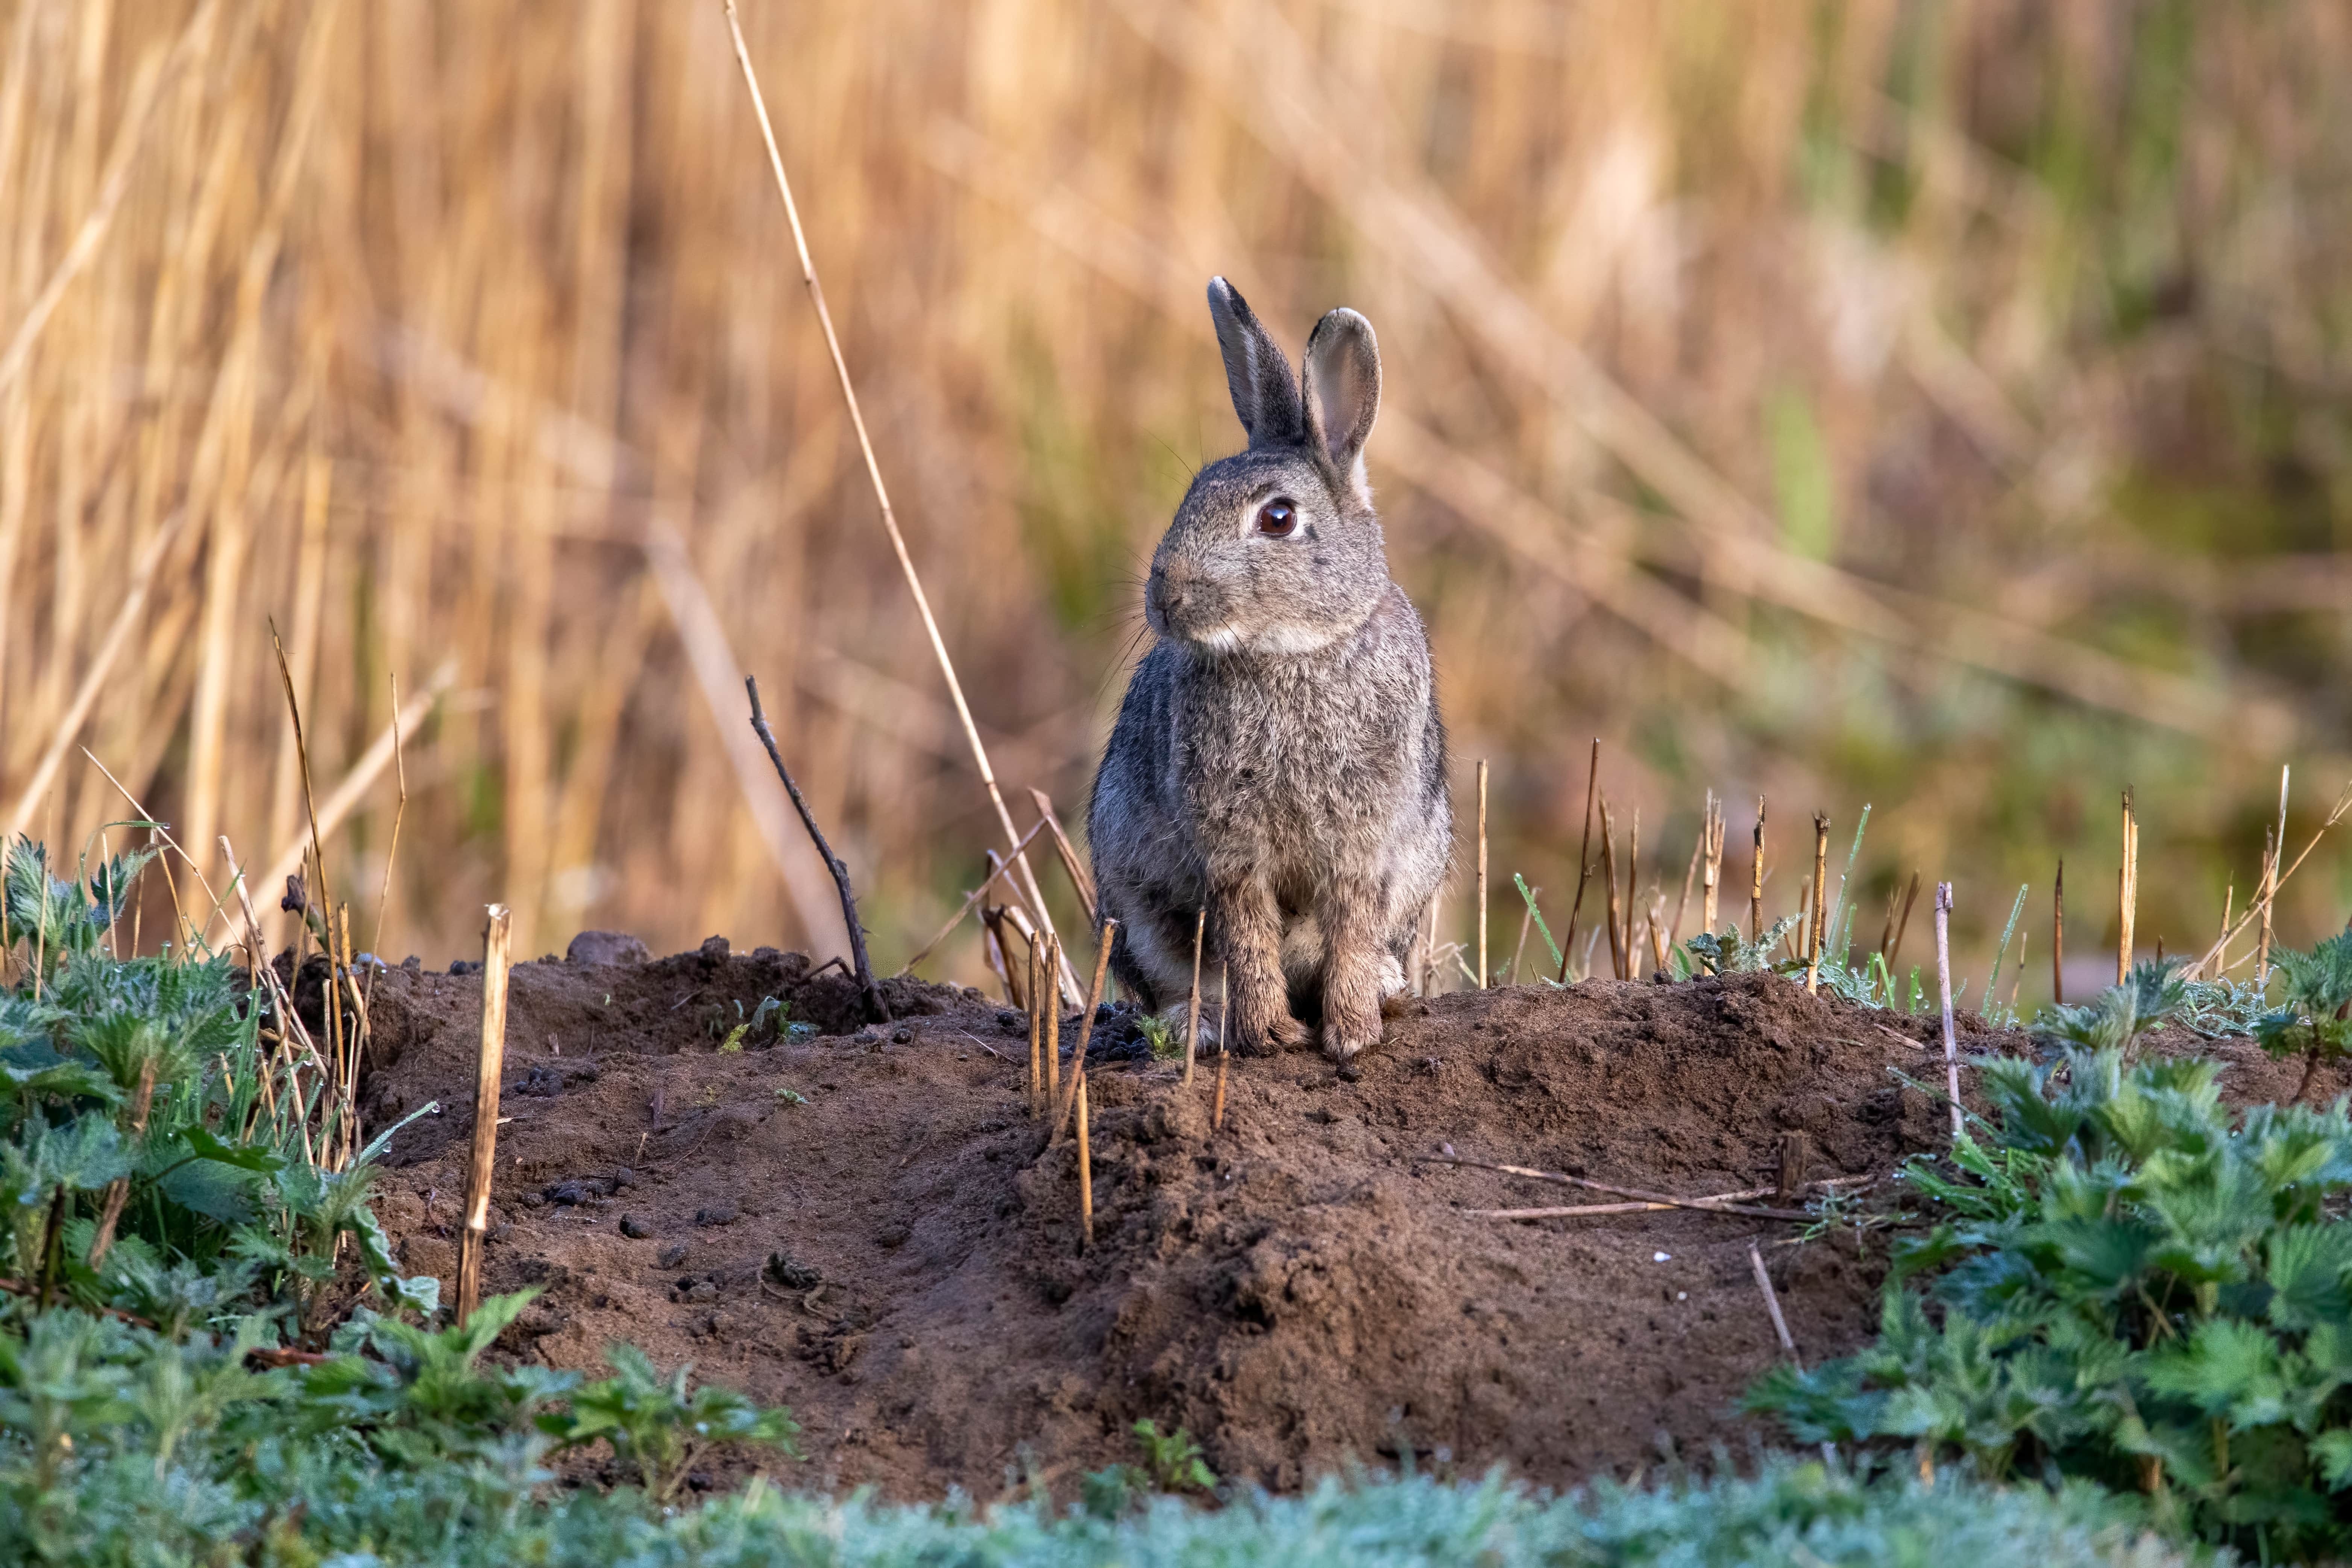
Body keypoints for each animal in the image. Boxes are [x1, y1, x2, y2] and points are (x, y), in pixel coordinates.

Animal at [1087, 277, 1450, 1063]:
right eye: (1191, 493)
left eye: (1277, 518)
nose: (1164, 596)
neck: (1290, 651)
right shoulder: (1229, 846)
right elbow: (1248, 936)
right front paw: (1270, 1034)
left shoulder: (1363, 843)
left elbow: (1348, 930)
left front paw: (1349, 1035)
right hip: (1134, 904)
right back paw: (1199, 1027)